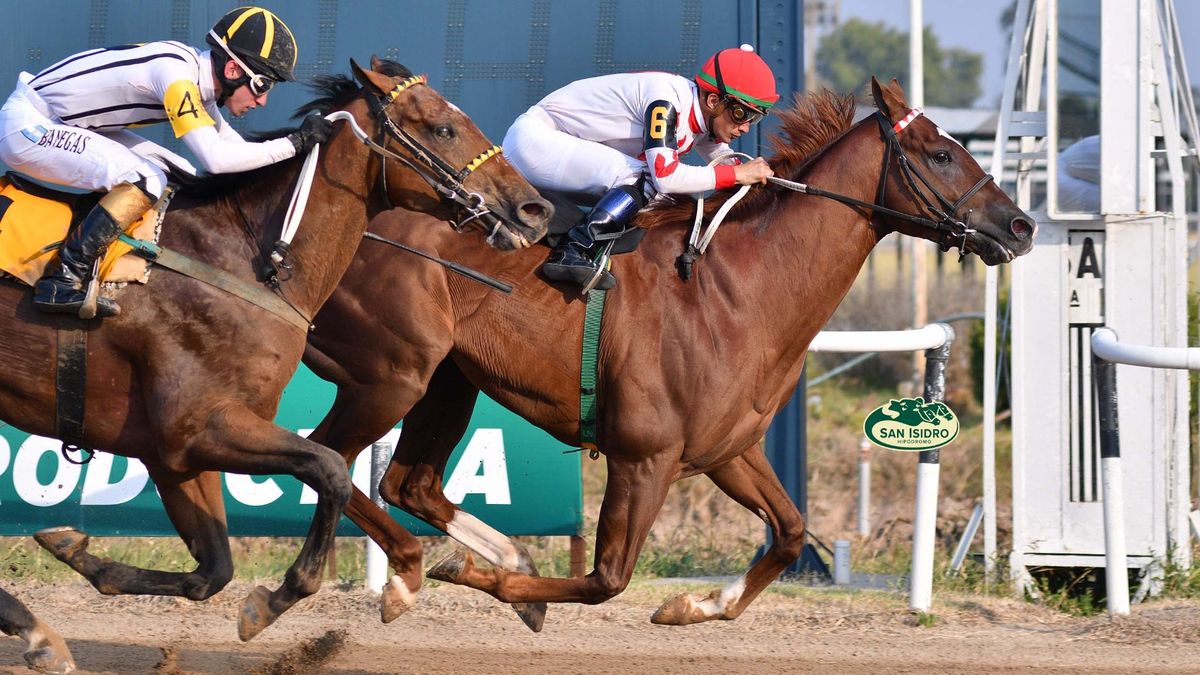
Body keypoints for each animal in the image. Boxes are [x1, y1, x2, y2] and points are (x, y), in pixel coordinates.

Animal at [0, 53, 552, 658]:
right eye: (443, 128)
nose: (534, 209)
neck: (245, 258)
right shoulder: (199, 427)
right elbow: (329, 467)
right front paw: (281, 597)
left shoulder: (173, 450)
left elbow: (212, 571)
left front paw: (73, 550)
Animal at [304, 77, 1036, 624]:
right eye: (940, 154)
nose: (1022, 225)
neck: (739, 290)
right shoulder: (643, 457)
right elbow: (605, 578)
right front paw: (498, 586)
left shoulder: (728, 450)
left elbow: (790, 532)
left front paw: (696, 604)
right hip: (393, 372)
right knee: (332, 457)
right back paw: (407, 575)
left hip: (448, 379)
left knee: (405, 481)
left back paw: (478, 557)